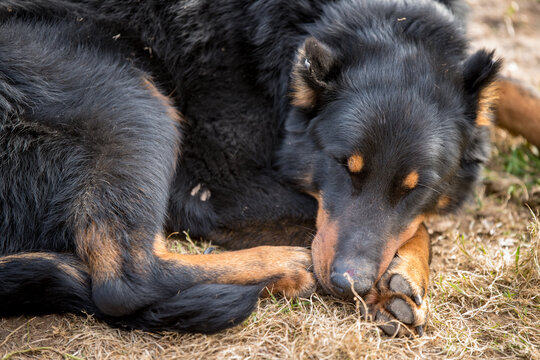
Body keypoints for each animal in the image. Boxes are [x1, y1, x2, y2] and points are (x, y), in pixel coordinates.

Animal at [1, 0, 528, 338]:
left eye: (415, 188)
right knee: (125, 278)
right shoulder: (218, 183)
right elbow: (416, 230)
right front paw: (400, 274)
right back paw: (280, 266)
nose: (349, 286)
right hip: (129, 93)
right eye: (342, 166)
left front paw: (400, 277)